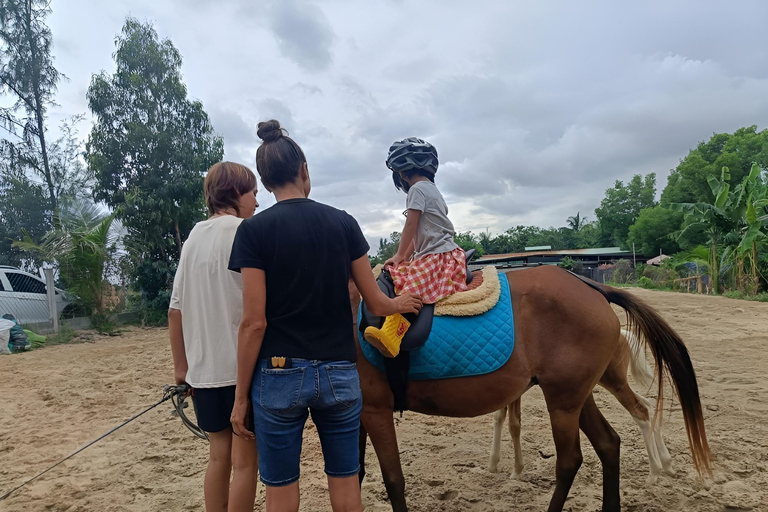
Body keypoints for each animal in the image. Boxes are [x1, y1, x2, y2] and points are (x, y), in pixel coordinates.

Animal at [352, 266, 712, 510]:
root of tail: (593, 287)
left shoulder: (375, 410)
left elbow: (393, 479)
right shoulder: (356, 416)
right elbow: (357, 472)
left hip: (564, 402)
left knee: (570, 460)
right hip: (577, 397)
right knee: (609, 443)